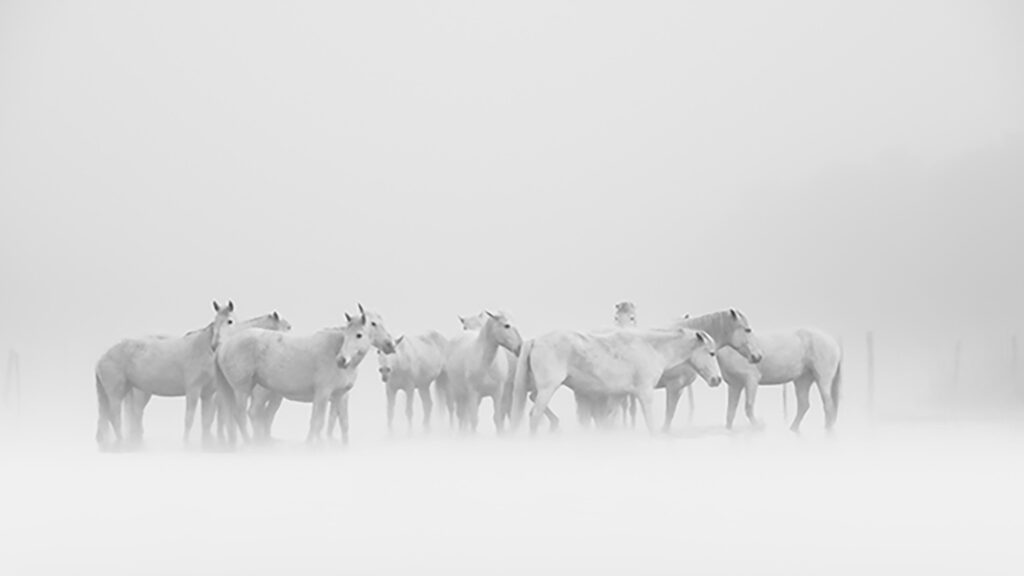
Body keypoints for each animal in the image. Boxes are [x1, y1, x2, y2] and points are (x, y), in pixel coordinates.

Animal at [94, 300, 236, 448]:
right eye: (215, 321)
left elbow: (207, 421)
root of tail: (102, 359)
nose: (215, 345)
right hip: (116, 394)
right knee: (114, 416)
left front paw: (207, 443)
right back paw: (122, 442)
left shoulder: (208, 394)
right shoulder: (193, 390)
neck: (203, 351)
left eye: (230, 321)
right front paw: (186, 443)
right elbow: (189, 418)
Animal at [216, 306, 396, 445]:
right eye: (373, 324)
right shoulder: (322, 394)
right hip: (242, 389)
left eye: (359, 334)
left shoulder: (341, 396)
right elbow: (317, 423)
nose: (391, 345)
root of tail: (224, 346)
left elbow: (343, 424)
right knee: (241, 415)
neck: (334, 352)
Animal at [511, 327, 722, 435]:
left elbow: (607, 420)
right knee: (534, 414)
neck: (651, 348)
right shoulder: (645, 393)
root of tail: (535, 340)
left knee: (532, 400)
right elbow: (650, 423)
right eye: (711, 353)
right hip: (548, 388)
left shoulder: (619, 395)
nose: (717, 379)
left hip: (543, 388)